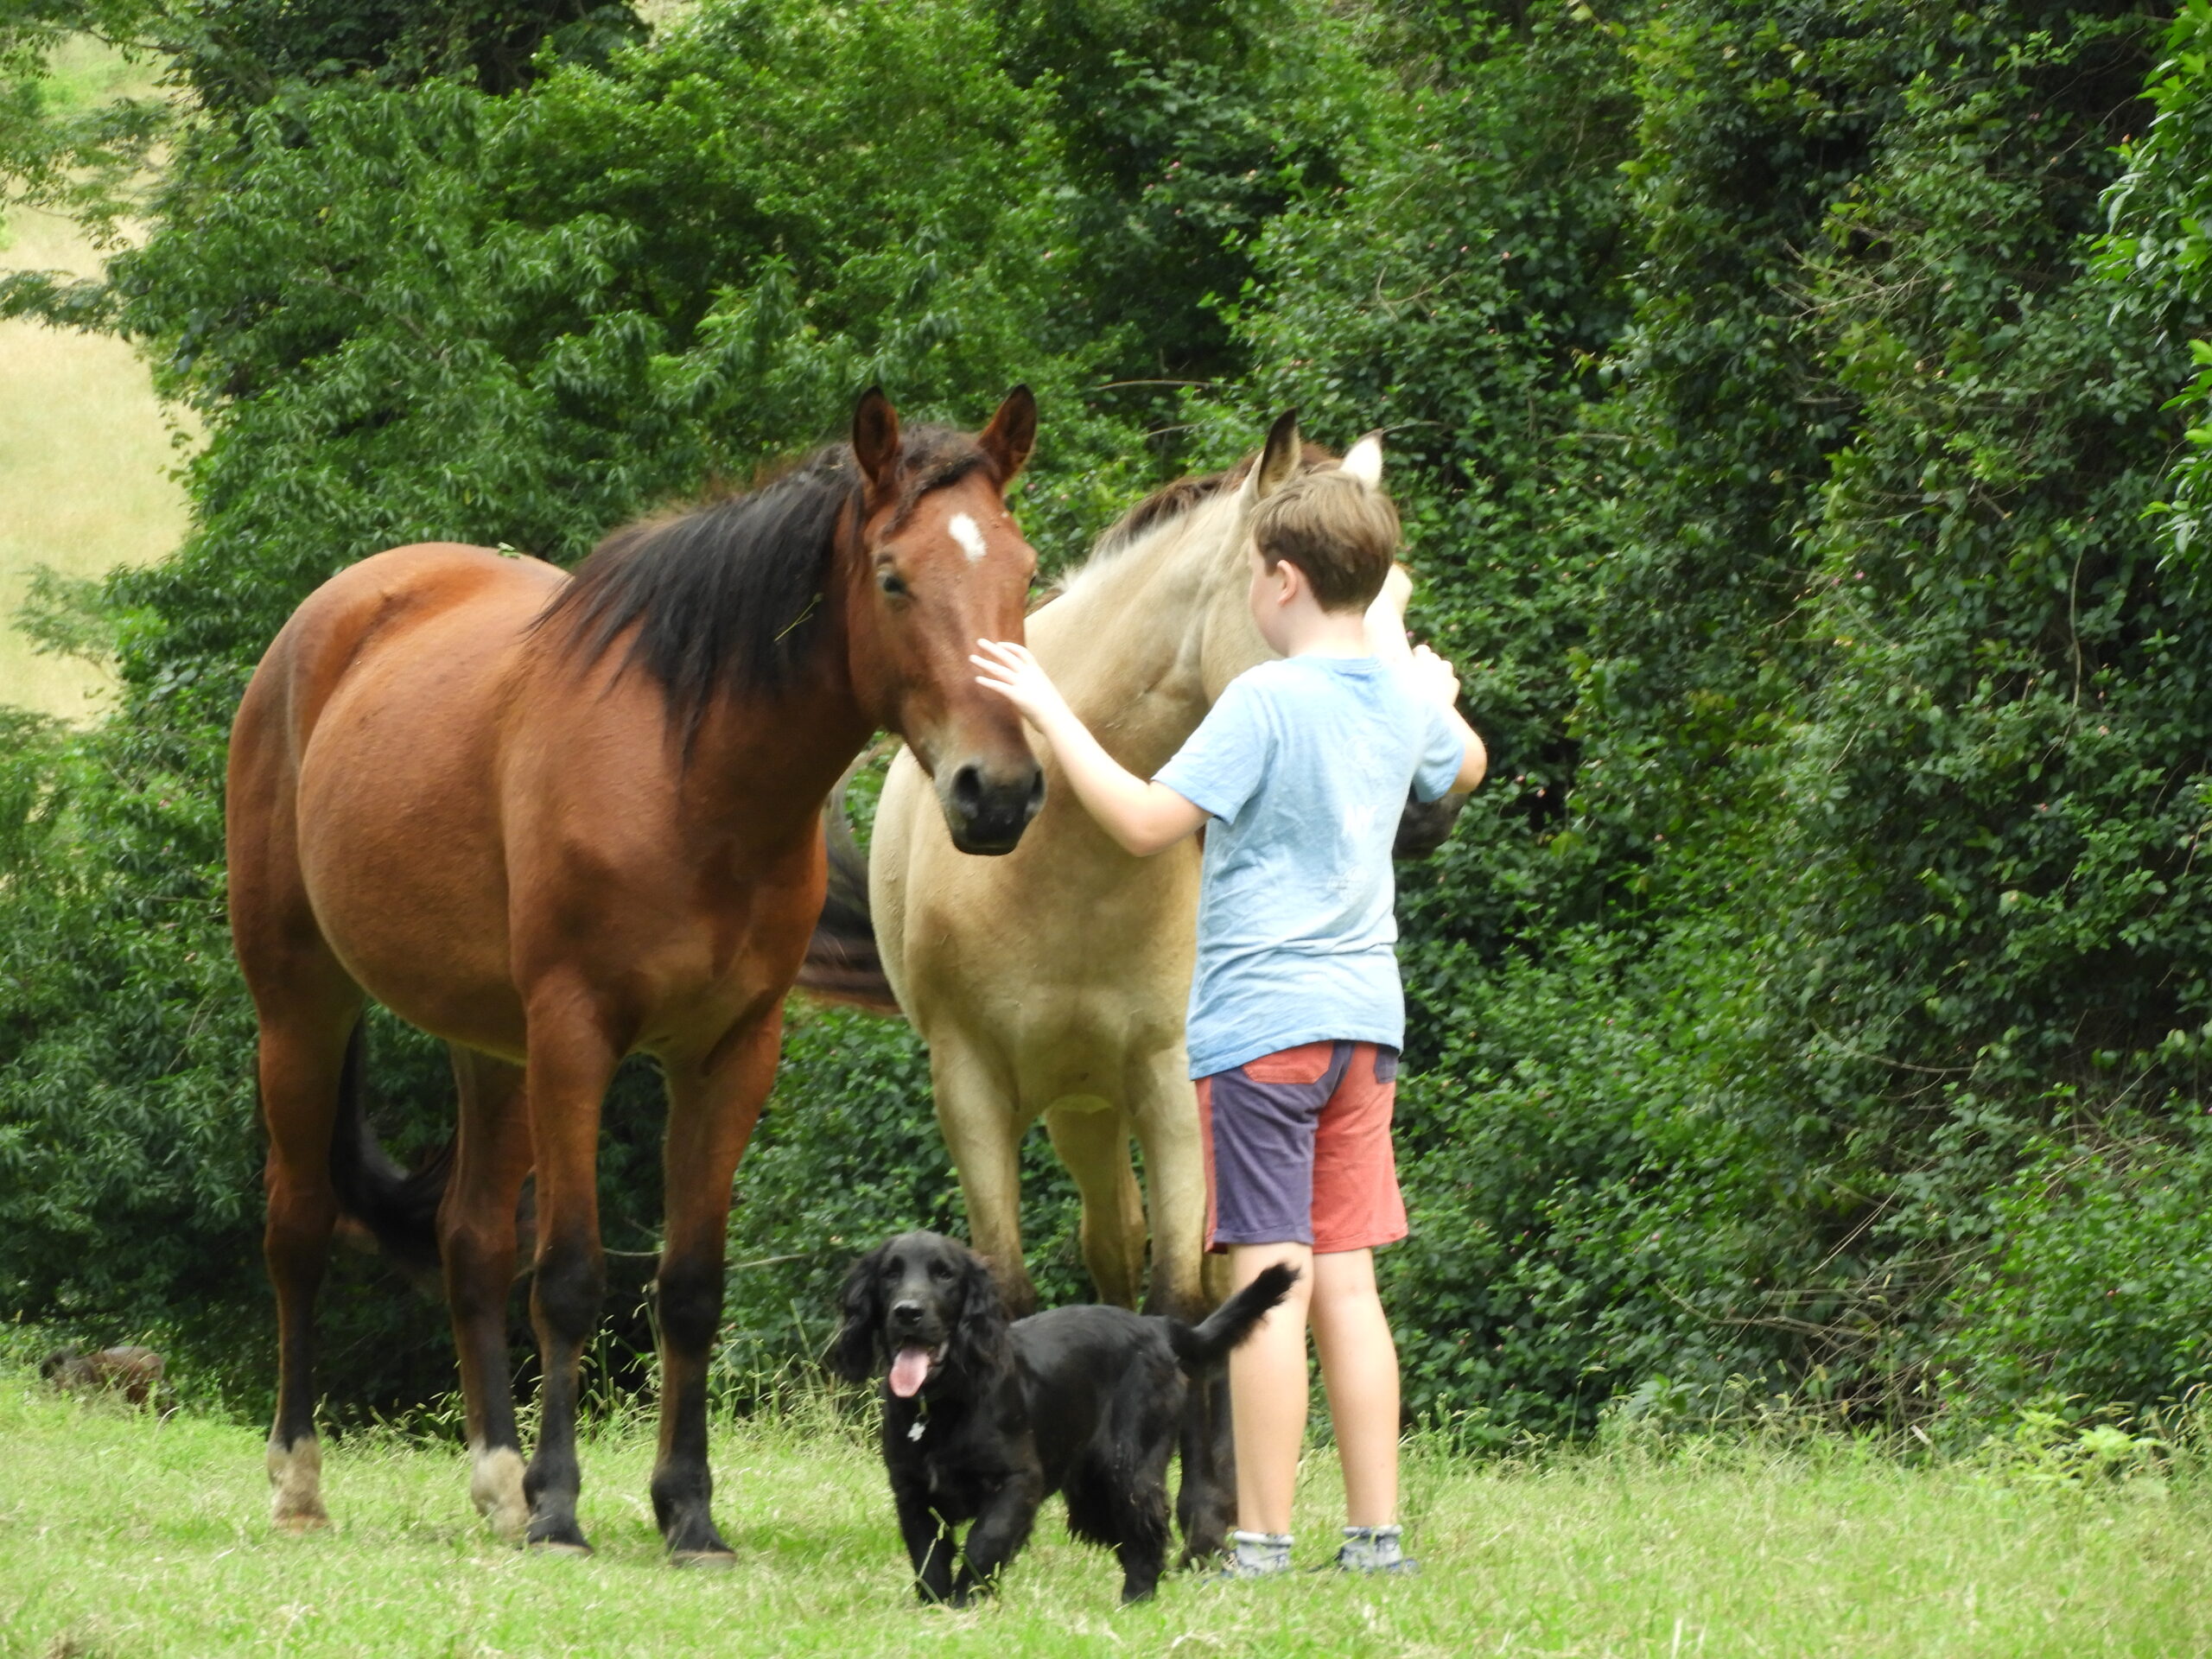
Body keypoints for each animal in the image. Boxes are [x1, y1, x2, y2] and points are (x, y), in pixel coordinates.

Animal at [224, 387, 1044, 1557]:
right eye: (894, 577)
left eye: (1020, 572)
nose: (998, 793)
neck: (691, 778)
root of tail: (330, 619)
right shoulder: (577, 1036)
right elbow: (569, 1278)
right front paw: (563, 1510)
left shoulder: (729, 1054)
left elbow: (689, 1287)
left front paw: (686, 1512)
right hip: (302, 1007)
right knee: (297, 1230)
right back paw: (301, 1482)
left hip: (490, 1049)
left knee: (471, 1240)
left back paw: (498, 1476)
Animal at [827, 1238, 1292, 1610]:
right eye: (890, 1273)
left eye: (945, 1274)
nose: (908, 1312)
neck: (942, 1404)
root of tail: (1156, 1326)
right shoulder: (911, 1493)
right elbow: (928, 1557)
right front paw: (935, 1609)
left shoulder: (1018, 1480)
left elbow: (985, 1541)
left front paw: (965, 1604)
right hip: (1092, 1490)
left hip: (1129, 1467)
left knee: (1147, 1535)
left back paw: (1136, 1601)